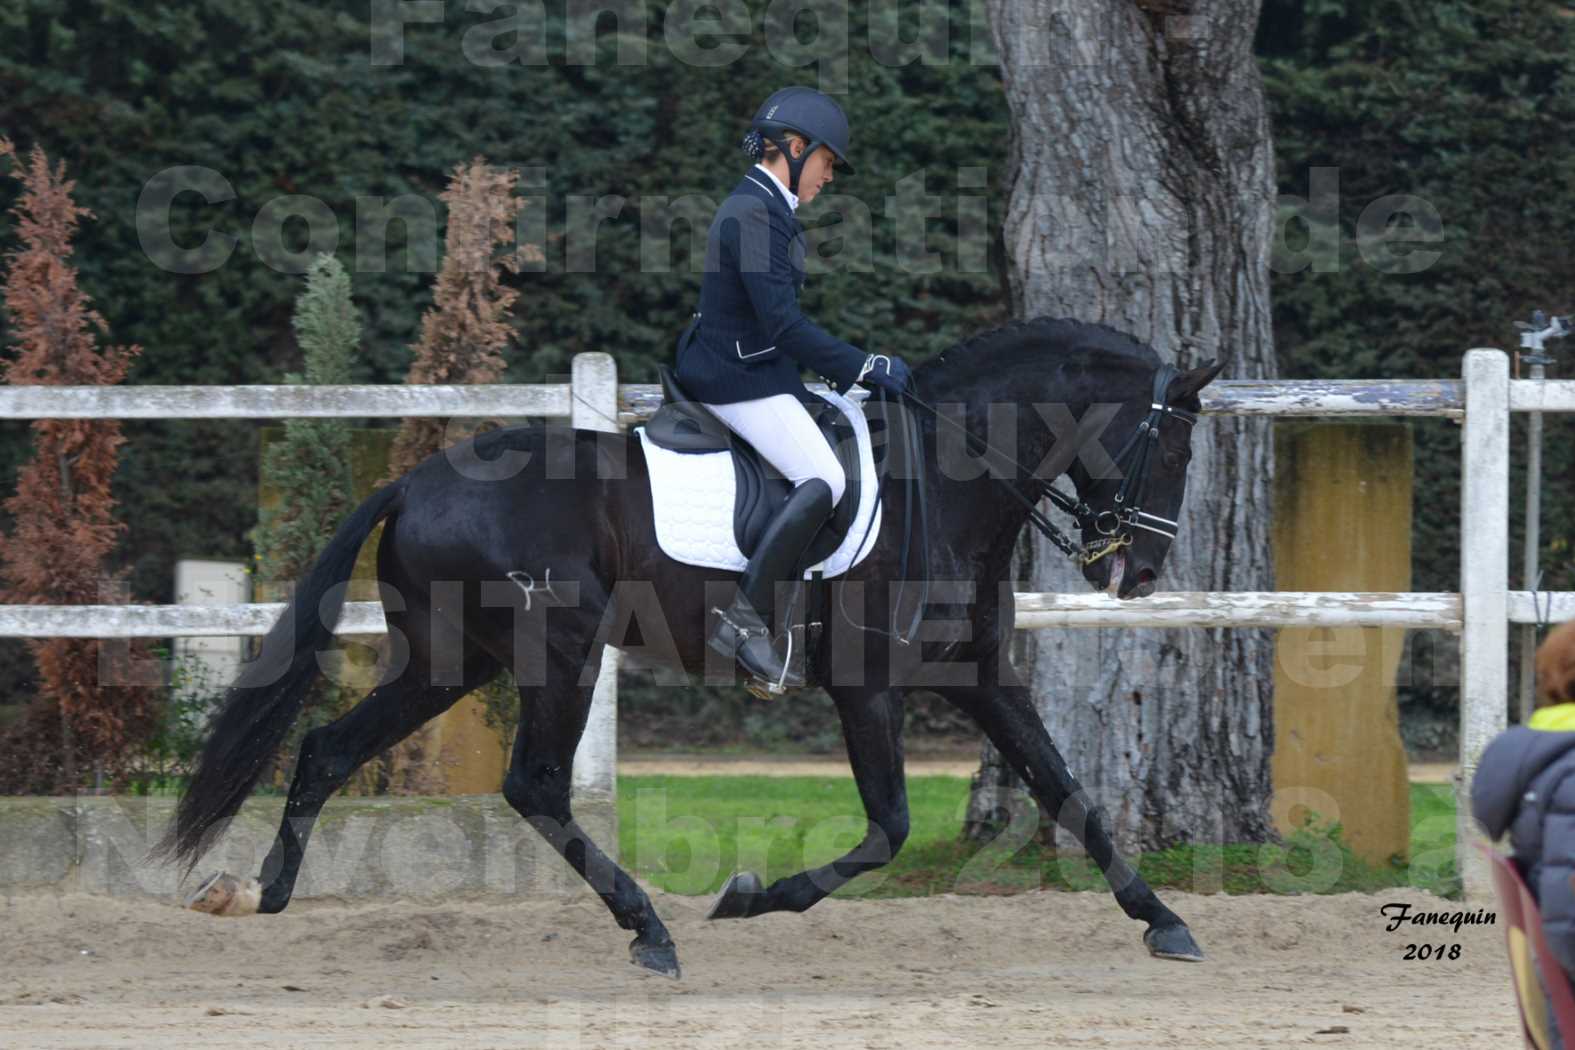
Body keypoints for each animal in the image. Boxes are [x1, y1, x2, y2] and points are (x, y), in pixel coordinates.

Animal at [159, 311, 1222, 976]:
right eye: (1169, 447)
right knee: (533, 785)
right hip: (559, 653)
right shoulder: (866, 690)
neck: (948, 481)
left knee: (327, 749)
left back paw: (261, 895)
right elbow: (886, 830)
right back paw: (651, 930)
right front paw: (748, 898)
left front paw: (1166, 923)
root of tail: (414, 480)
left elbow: (1071, 795)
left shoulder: (982, 680)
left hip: (449, 662)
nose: (1136, 574)